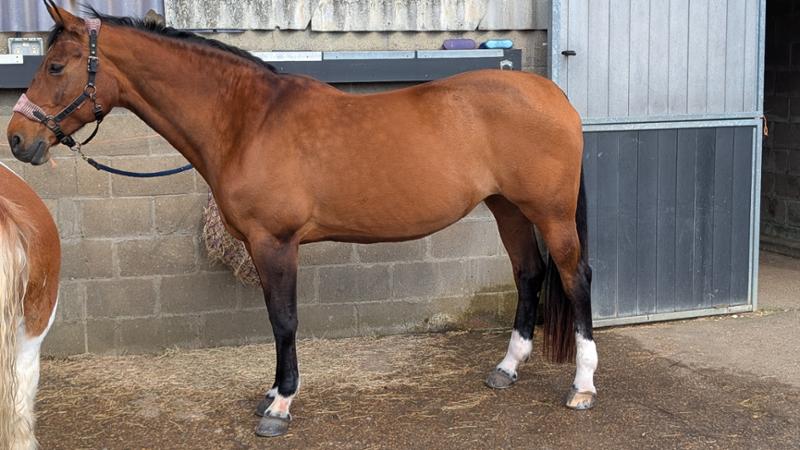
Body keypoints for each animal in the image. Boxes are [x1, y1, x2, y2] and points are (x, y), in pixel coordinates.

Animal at [6, 2, 597, 438]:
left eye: (55, 66)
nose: (17, 138)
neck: (248, 121)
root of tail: (554, 96)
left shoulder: (276, 243)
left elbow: (284, 320)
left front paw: (280, 406)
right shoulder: (263, 246)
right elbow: (277, 319)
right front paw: (272, 393)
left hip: (549, 213)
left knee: (575, 278)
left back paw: (583, 387)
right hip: (508, 208)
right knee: (528, 274)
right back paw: (507, 368)